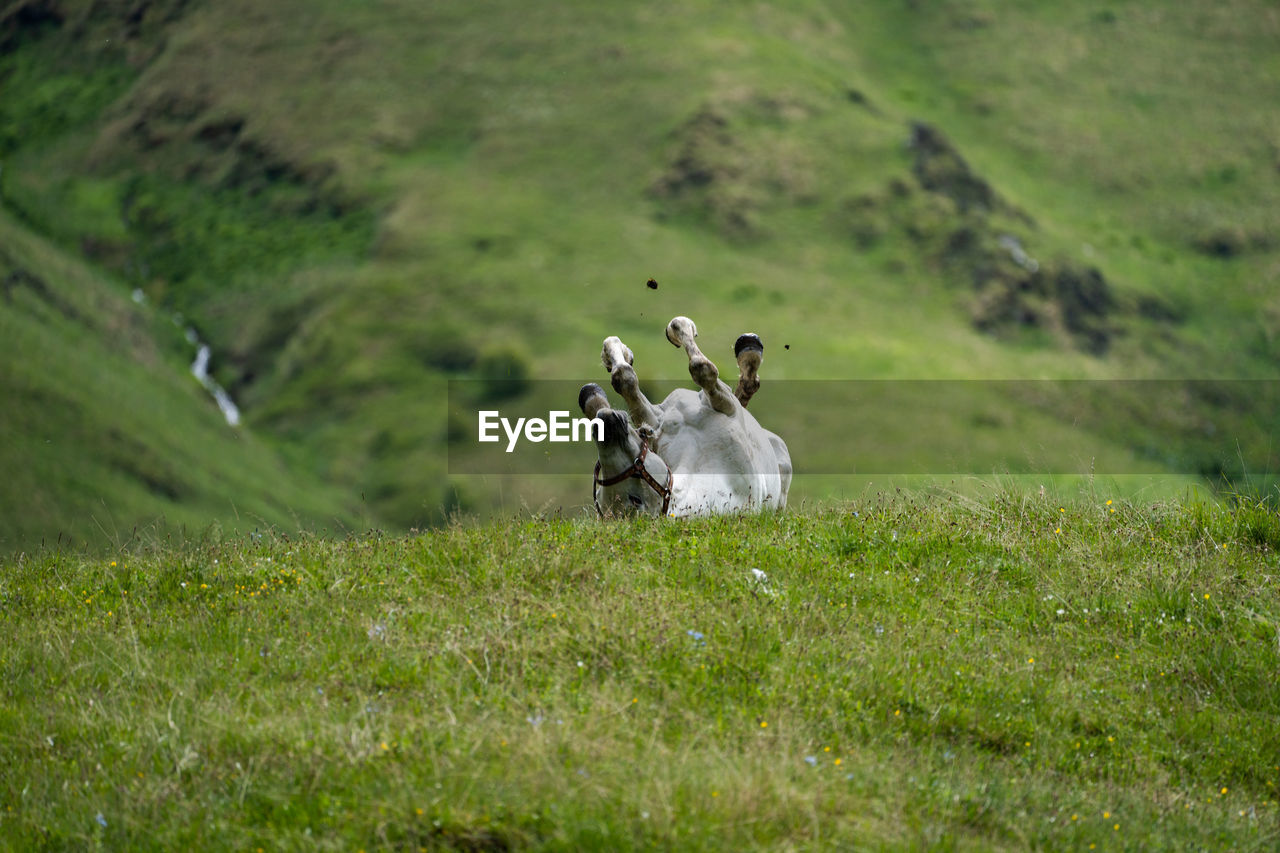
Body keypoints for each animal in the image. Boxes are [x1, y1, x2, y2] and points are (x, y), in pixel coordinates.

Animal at [581, 315, 788, 514]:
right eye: (634, 499)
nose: (607, 421)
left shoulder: (658, 417)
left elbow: (625, 378)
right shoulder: (723, 406)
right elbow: (701, 368)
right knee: (747, 383)